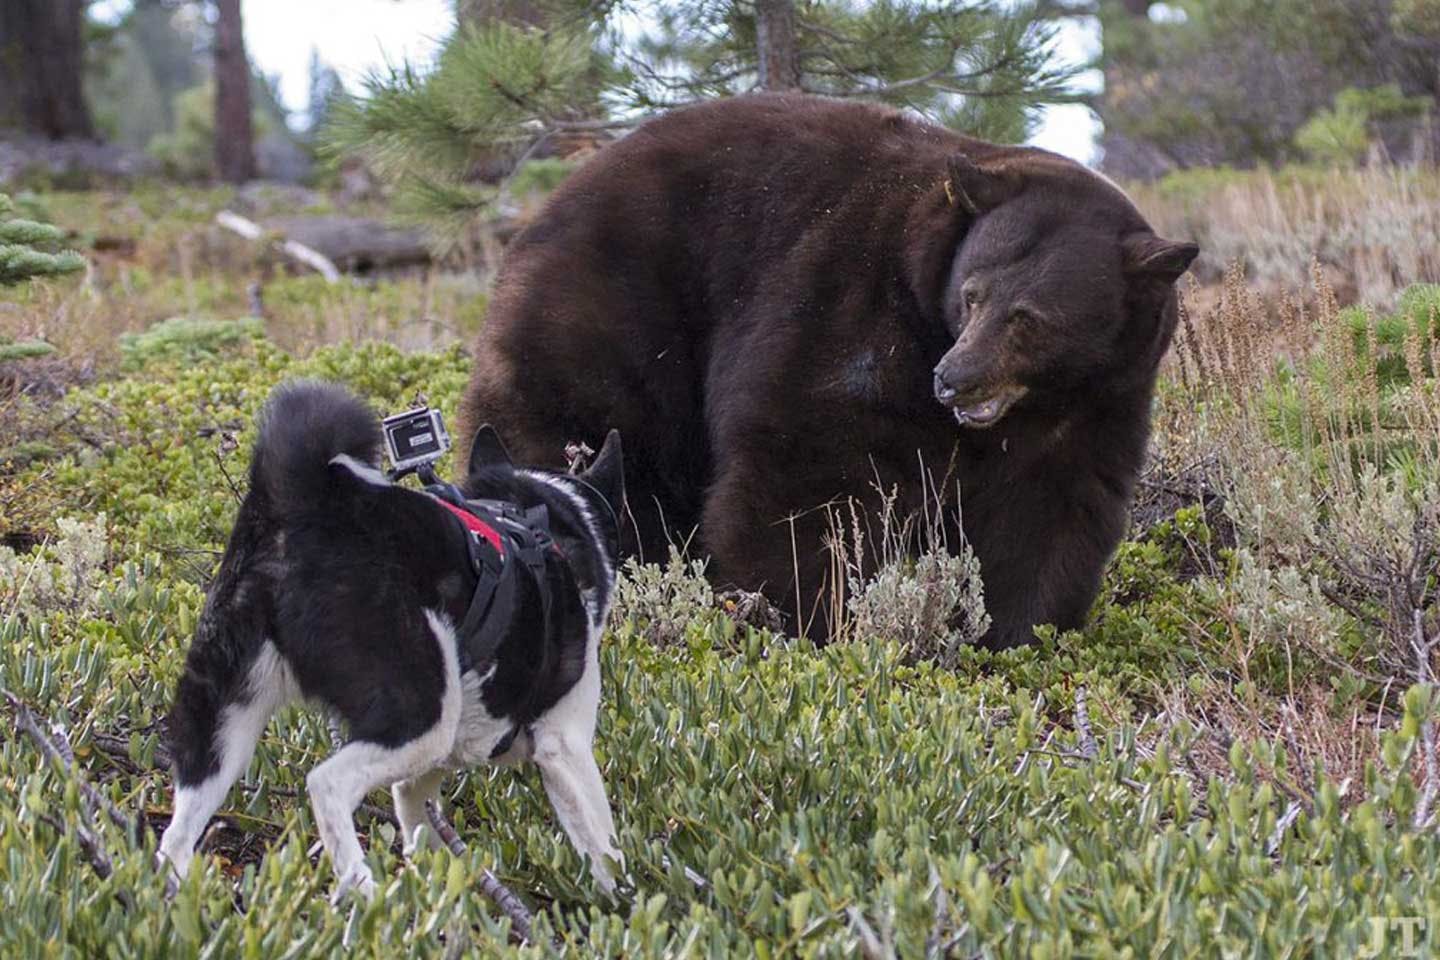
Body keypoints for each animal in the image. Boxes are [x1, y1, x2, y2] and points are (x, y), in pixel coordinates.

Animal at [157, 382, 624, 903]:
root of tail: (305, 503)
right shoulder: (565, 746)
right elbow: (607, 850)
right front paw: (626, 903)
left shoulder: (429, 770)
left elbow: (420, 829)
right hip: (419, 713)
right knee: (326, 784)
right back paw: (364, 893)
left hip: (223, 725)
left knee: (175, 836)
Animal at [455, 93, 1198, 650]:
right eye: (972, 294)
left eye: (1030, 318)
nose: (953, 379)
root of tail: (535, 220)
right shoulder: (848, 308)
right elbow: (810, 471)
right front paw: (812, 617)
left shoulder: (1100, 402)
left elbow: (1049, 514)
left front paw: (1018, 636)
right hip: (609, 322)